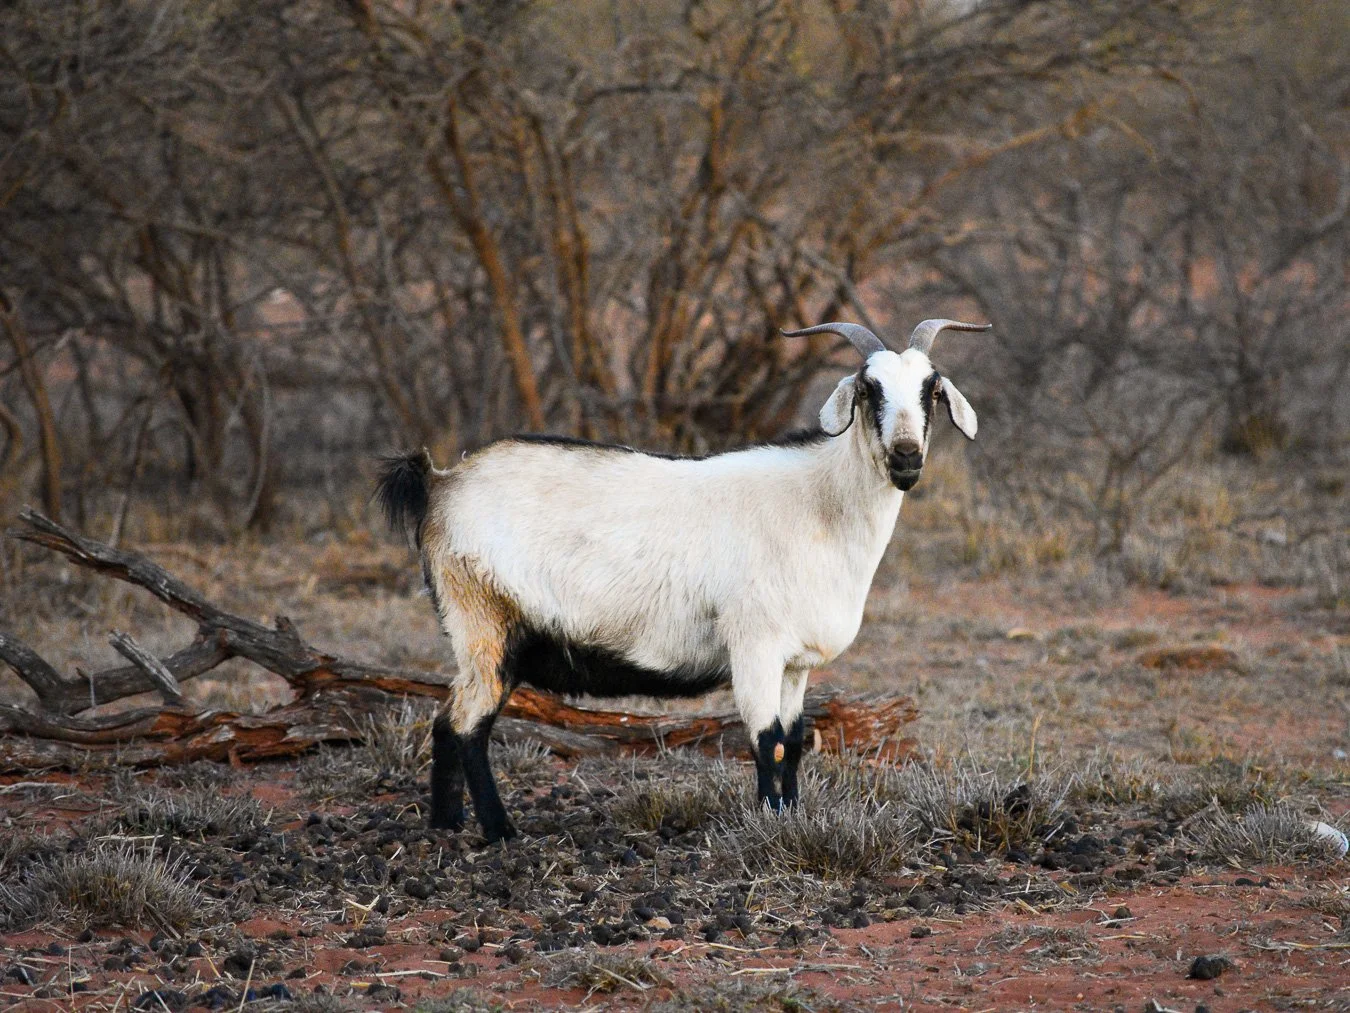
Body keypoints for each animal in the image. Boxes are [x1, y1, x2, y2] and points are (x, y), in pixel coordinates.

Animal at [376, 318, 990, 842]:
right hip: (484, 623)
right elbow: (766, 740)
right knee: (467, 727)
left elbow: (793, 741)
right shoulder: (754, 645)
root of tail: (442, 482)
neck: (818, 506)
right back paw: (499, 830)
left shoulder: (795, 663)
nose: (906, 457)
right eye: (869, 388)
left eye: (932, 388)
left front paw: (792, 817)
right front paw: (768, 826)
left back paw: (446, 824)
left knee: (444, 721)